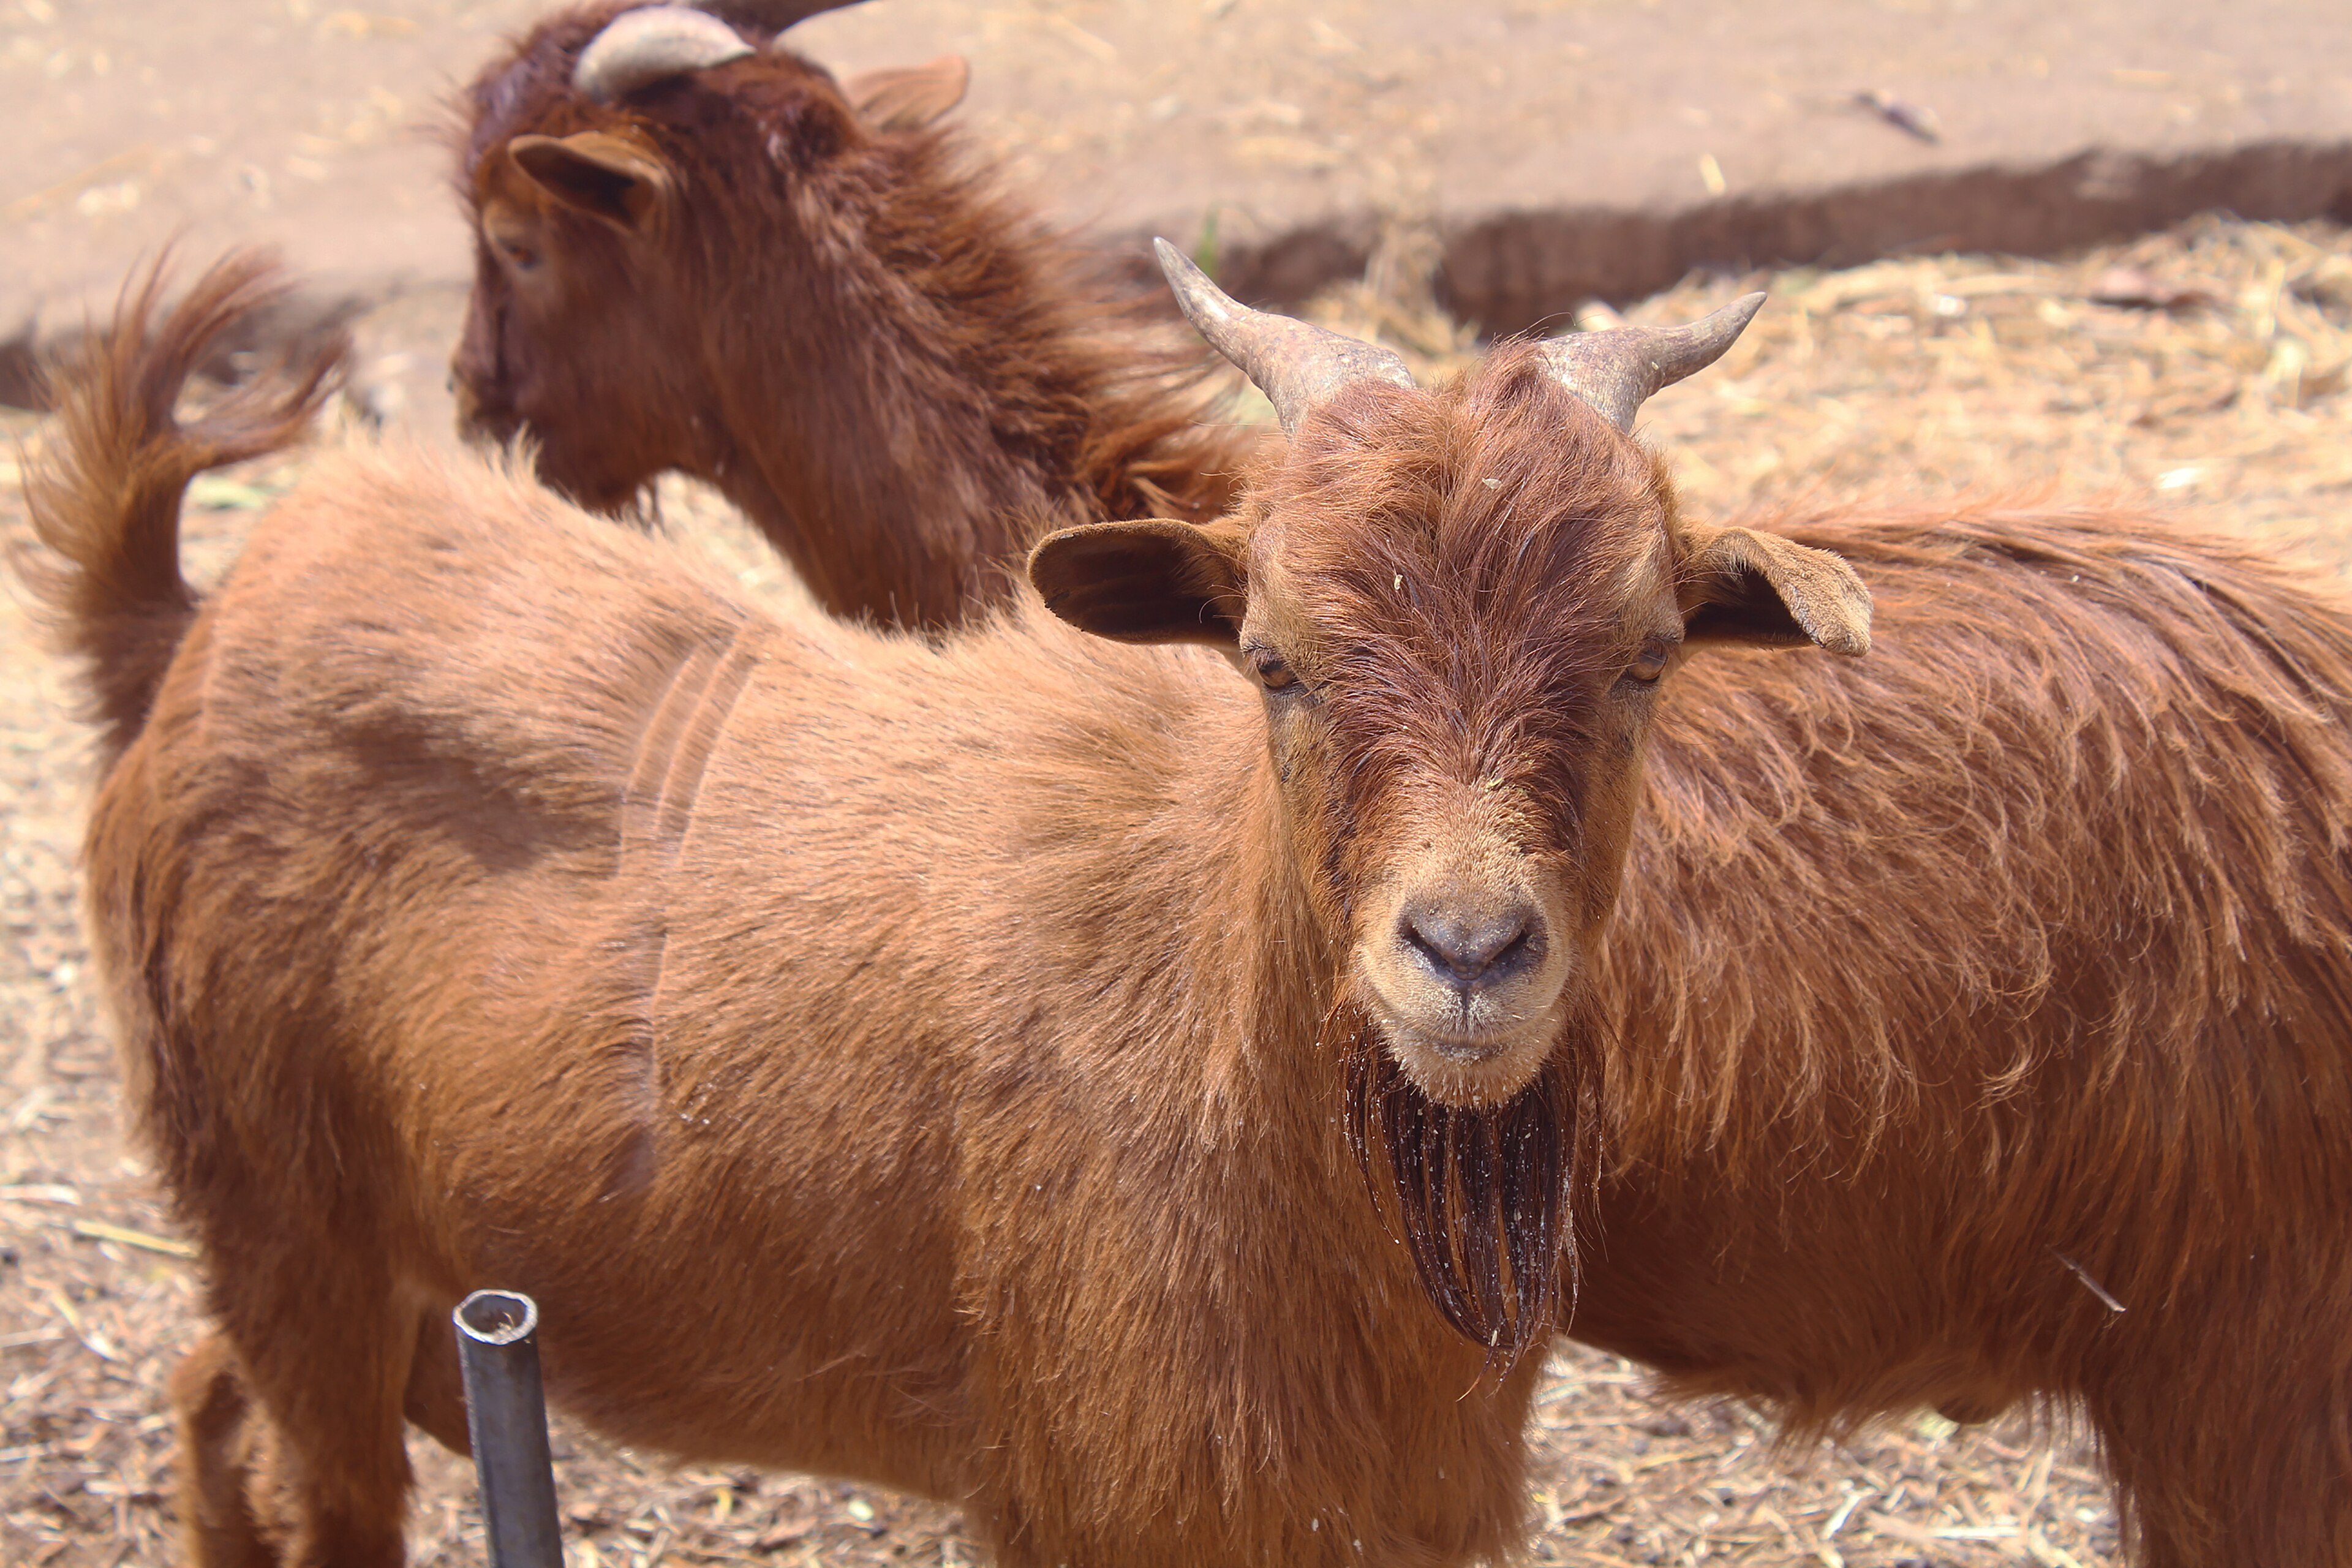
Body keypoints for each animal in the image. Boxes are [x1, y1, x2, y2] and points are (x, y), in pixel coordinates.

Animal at [23, 250, 1860, 1566]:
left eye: (1646, 657)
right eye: (1271, 658)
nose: (1467, 957)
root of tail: (184, 630)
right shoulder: (1109, 1500)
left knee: (211, 1400)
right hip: (278, 1209)